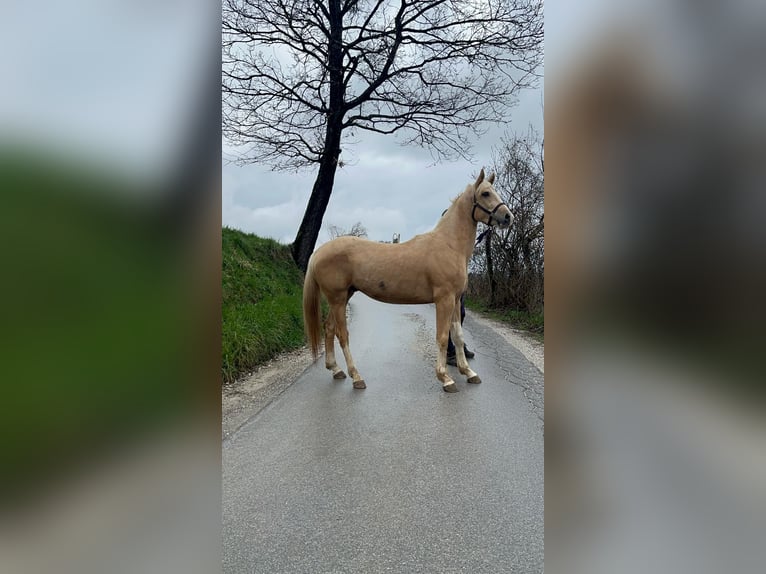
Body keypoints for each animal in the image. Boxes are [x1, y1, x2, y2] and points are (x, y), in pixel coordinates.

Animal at [302, 169, 513, 393]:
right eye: (485, 193)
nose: (508, 216)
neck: (449, 245)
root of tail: (319, 252)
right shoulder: (444, 300)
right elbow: (442, 337)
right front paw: (445, 378)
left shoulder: (455, 300)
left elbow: (457, 335)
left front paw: (469, 372)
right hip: (338, 299)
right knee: (342, 335)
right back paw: (356, 377)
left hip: (342, 297)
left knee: (329, 329)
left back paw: (336, 370)